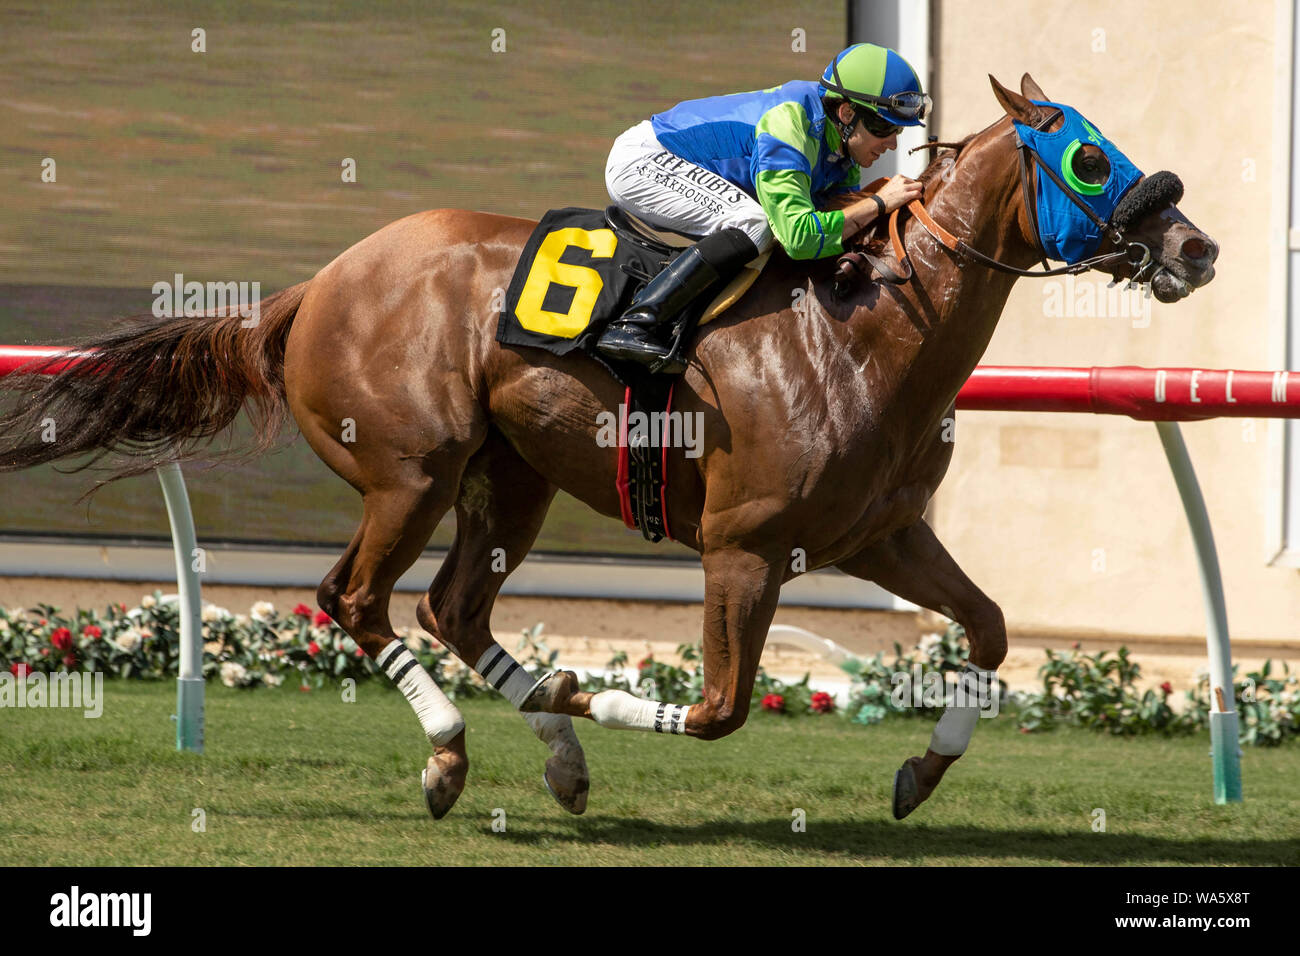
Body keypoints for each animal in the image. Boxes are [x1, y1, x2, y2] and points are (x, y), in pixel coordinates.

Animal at [2, 76, 1216, 822]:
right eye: (1089, 158)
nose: (1195, 245)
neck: (870, 327)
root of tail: (316, 285)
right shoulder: (742, 548)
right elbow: (720, 709)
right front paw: (588, 693)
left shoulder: (877, 537)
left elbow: (994, 628)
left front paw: (920, 767)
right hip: (411, 471)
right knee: (356, 597)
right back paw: (458, 747)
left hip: (510, 476)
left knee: (452, 607)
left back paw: (553, 752)